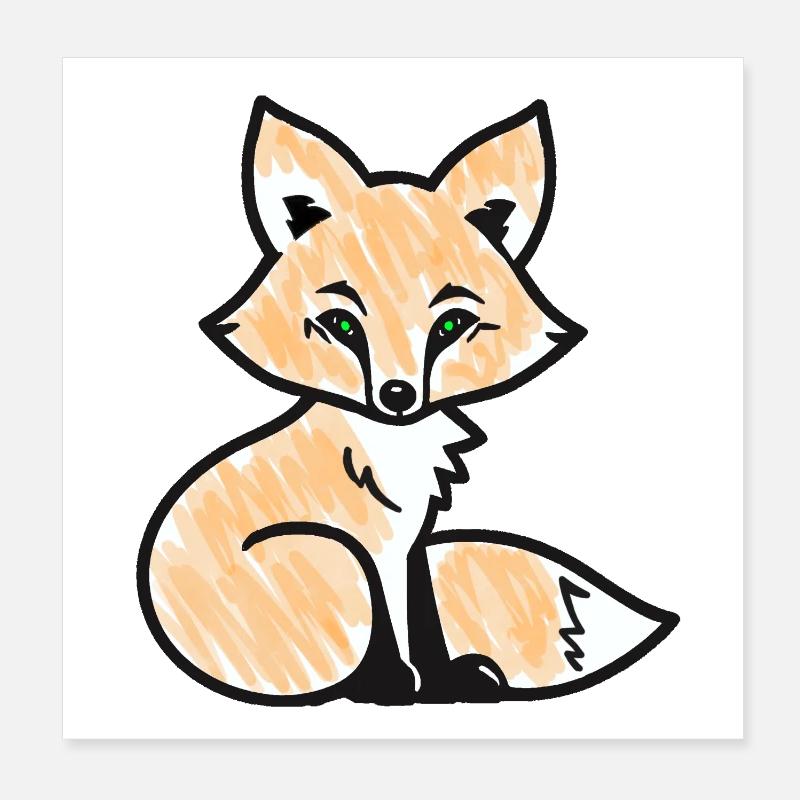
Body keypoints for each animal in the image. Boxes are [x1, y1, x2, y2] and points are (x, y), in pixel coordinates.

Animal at [137, 95, 678, 705]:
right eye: (341, 324)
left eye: (452, 325)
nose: (397, 396)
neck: (392, 448)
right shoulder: (374, 545)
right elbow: (395, 620)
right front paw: (399, 679)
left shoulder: (408, 540)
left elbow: (423, 615)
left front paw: (443, 680)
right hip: (335, 559)